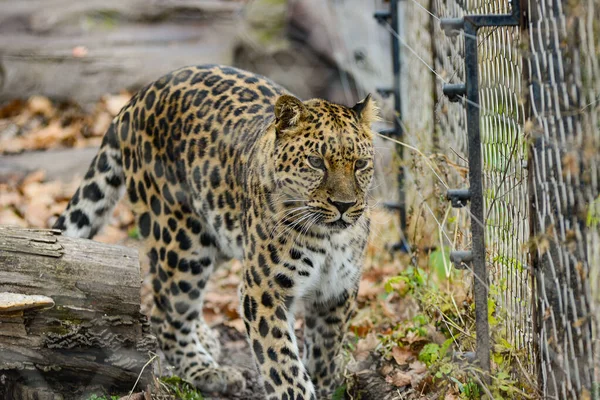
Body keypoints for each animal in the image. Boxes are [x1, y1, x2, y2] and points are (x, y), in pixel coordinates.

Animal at [54, 64, 378, 398]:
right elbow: (283, 364)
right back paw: (208, 371)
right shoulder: (264, 290)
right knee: (165, 314)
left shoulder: (338, 289)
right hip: (183, 242)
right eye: (316, 162)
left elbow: (326, 348)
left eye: (360, 164)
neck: (330, 238)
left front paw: (324, 383)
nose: (344, 205)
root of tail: (136, 98)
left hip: (217, 235)